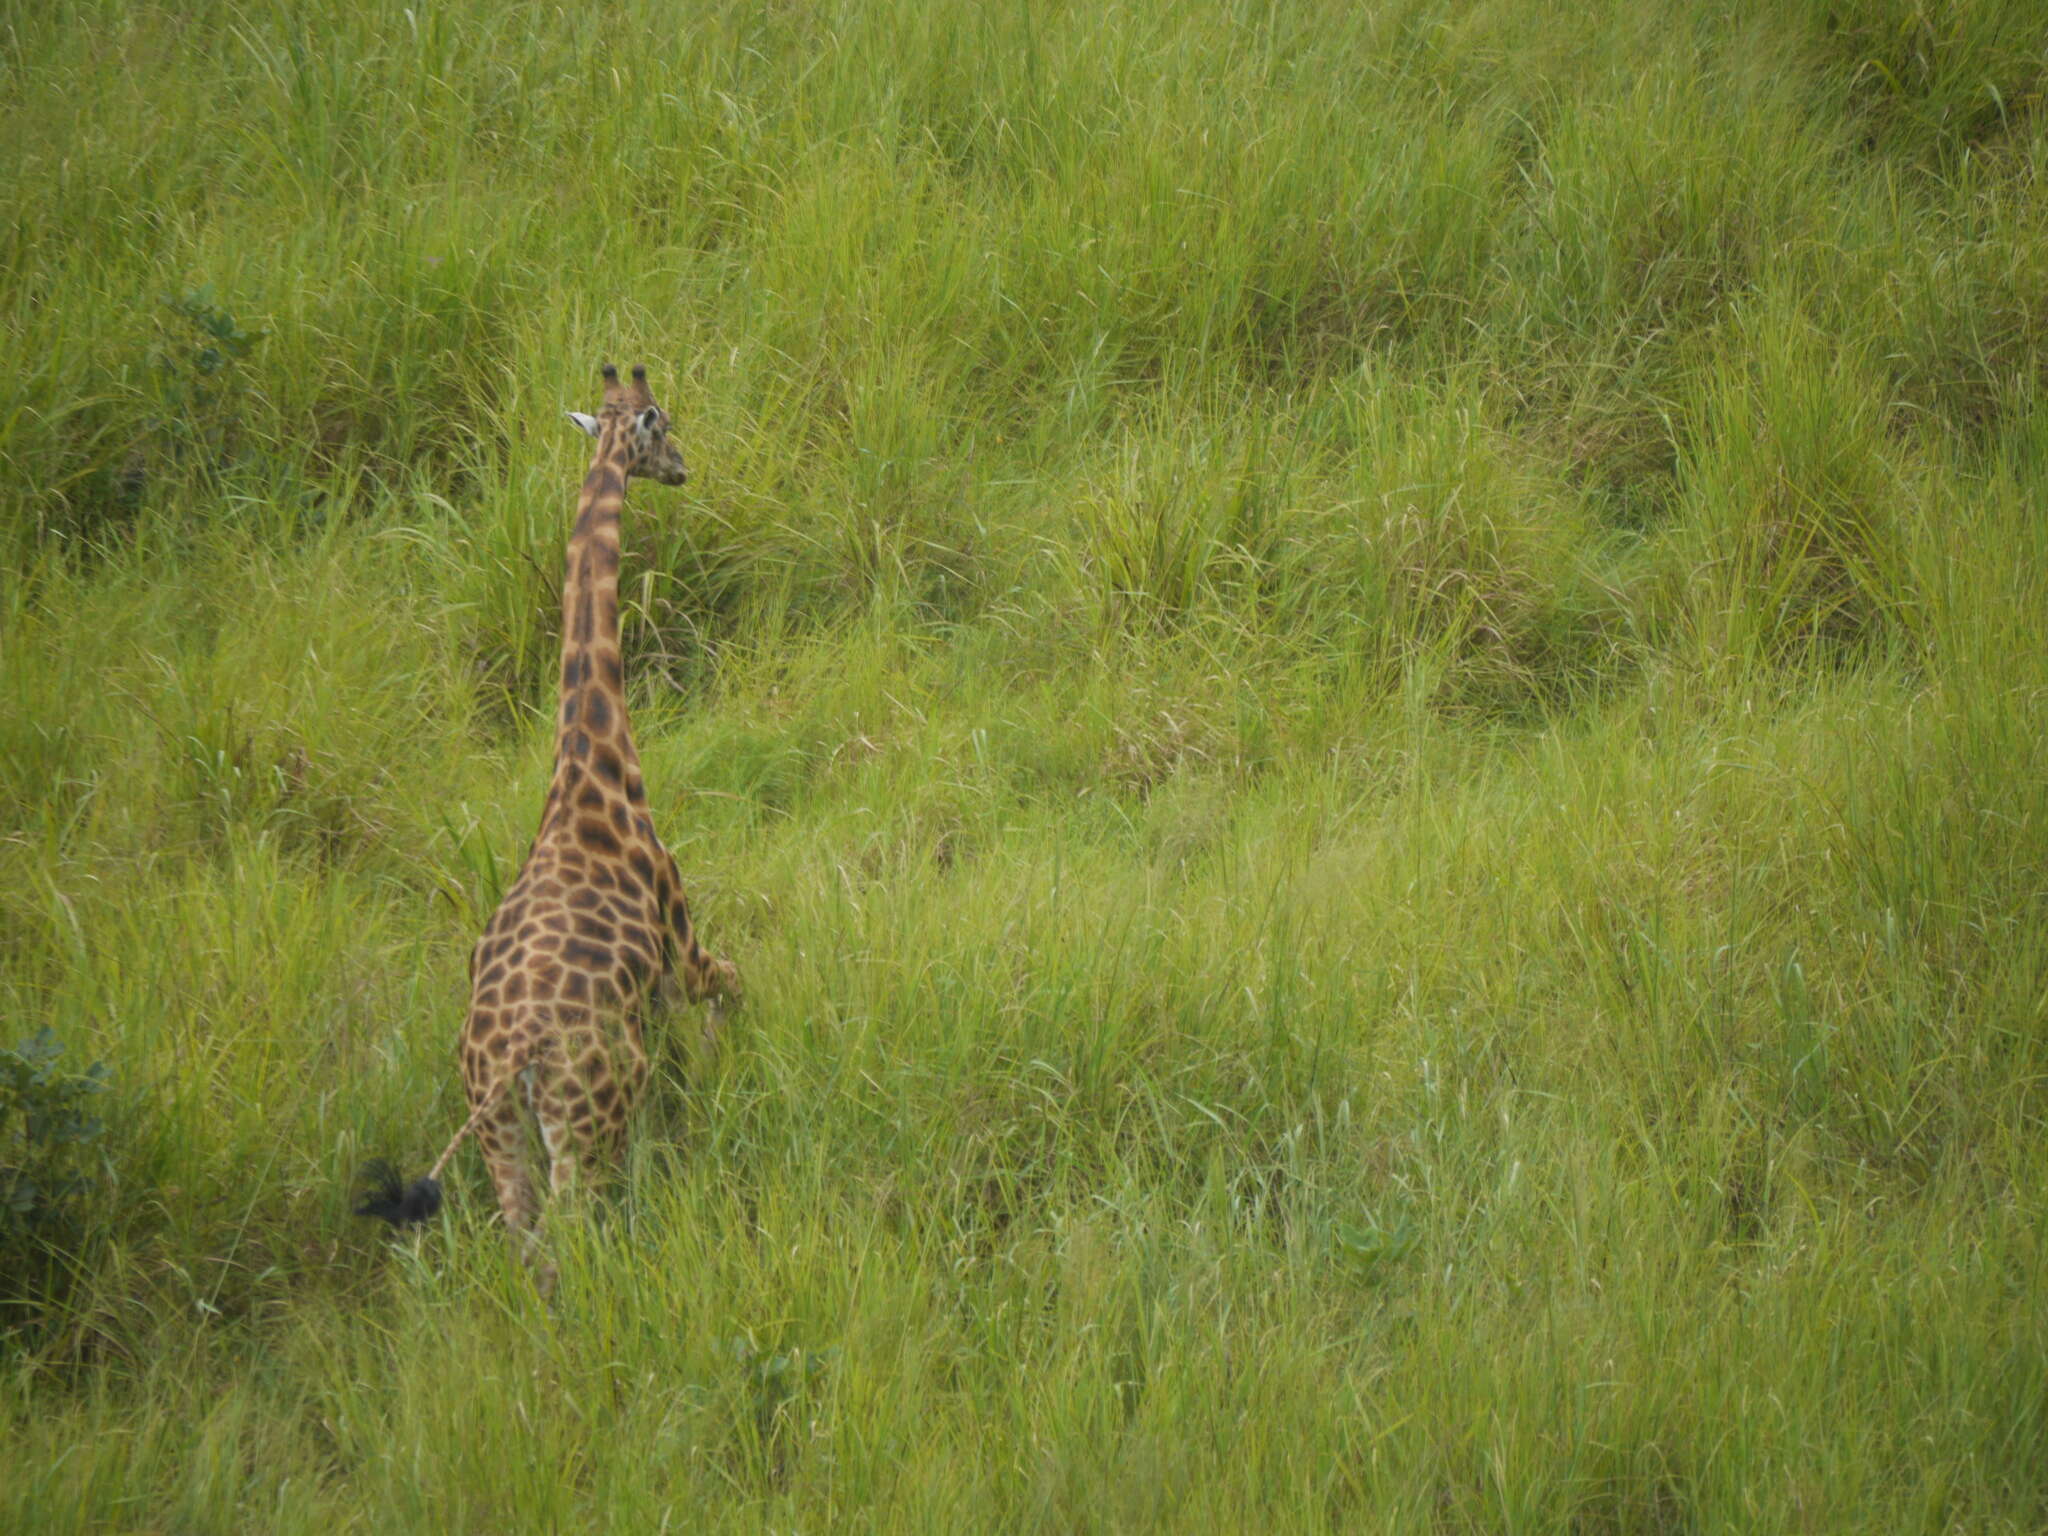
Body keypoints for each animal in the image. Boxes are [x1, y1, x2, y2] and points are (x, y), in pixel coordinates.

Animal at [362, 364, 745, 1286]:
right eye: (663, 424)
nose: (683, 469)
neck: (589, 758)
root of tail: (512, 1062)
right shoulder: (679, 938)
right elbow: (734, 982)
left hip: (502, 1136)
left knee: (526, 1244)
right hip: (588, 1118)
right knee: (573, 1233)